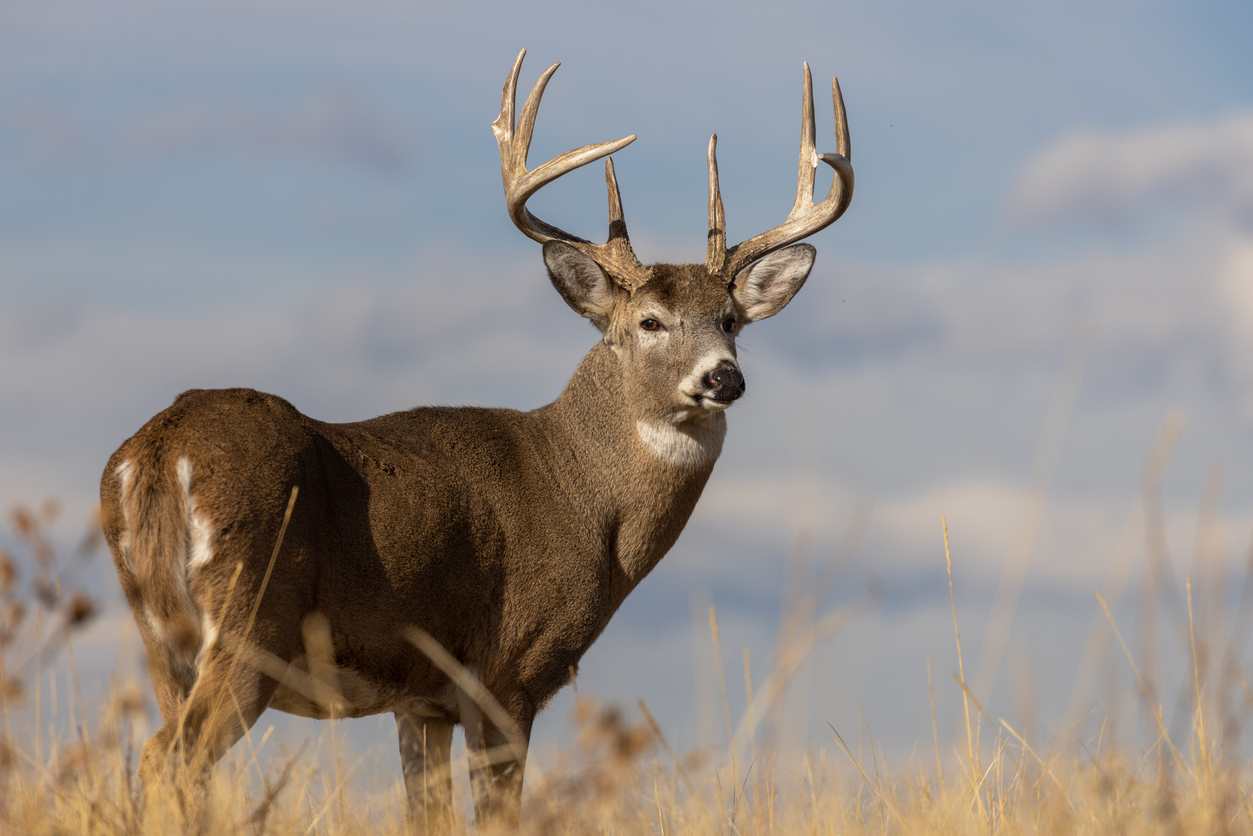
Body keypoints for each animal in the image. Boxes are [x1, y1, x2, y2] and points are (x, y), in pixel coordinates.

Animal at [100, 49, 852, 827]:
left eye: (730, 320)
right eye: (649, 321)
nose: (723, 376)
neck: (581, 495)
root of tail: (157, 452)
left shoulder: (420, 699)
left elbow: (425, 814)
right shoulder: (508, 670)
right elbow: (496, 815)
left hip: (161, 637)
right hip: (251, 616)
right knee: (169, 757)